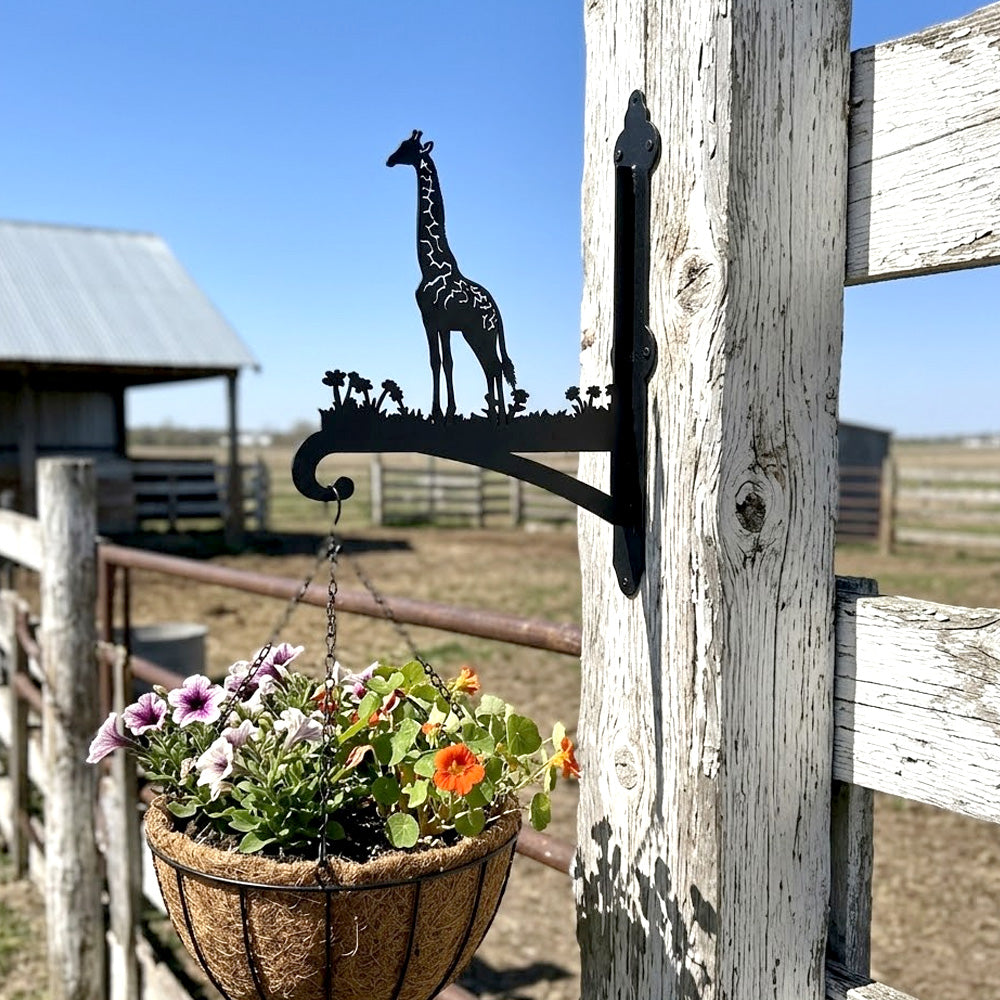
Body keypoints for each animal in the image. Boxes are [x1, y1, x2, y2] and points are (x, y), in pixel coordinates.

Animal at [387, 130, 516, 421]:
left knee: (494, 366)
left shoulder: (439, 321)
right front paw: (440, 411)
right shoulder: (433, 321)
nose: (389, 160)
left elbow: (443, 362)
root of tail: (497, 312)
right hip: (475, 334)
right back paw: (496, 417)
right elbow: (438, 361)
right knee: (491, 367)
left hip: (483, 333)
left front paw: (444, 413)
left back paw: (500, 417)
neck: (429, 266)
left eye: (406, 147)